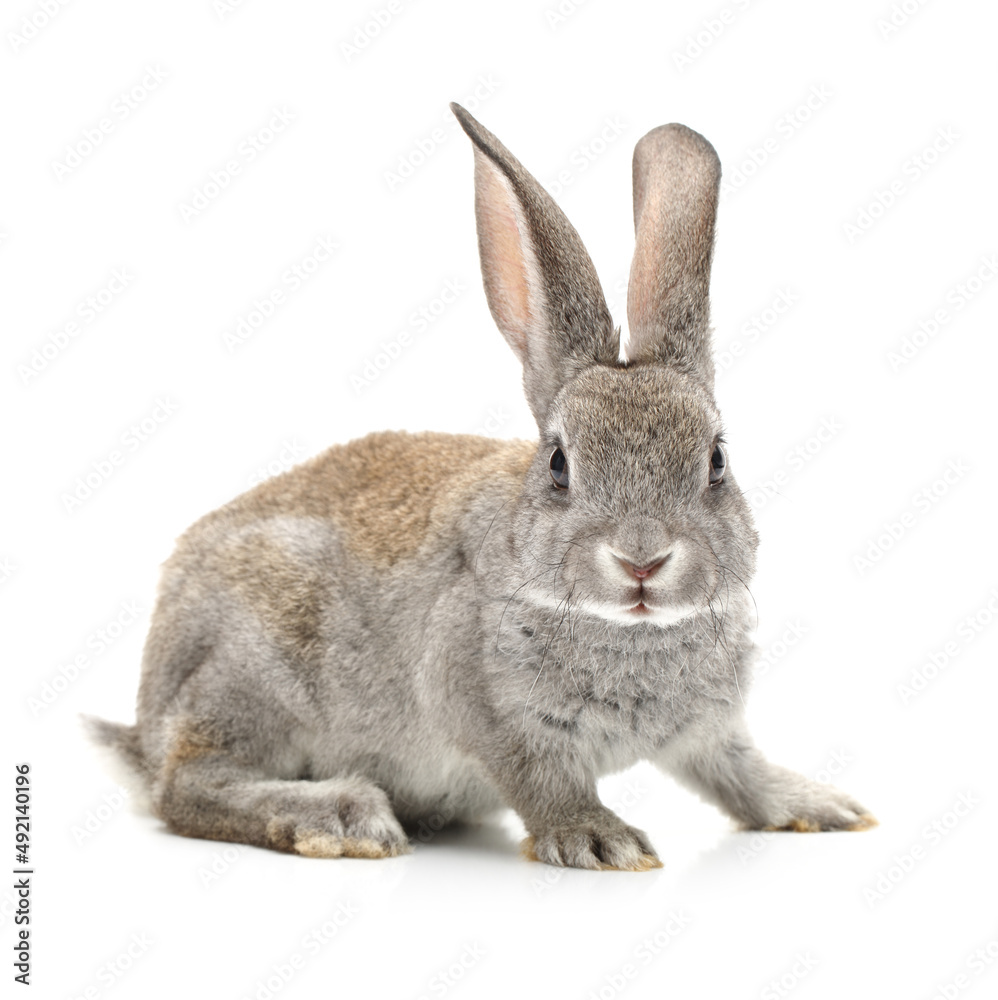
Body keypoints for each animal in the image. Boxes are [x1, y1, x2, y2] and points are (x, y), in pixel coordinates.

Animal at [85, 102, 876, 871]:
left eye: (715, 462)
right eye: (558, 465)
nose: (643, 559)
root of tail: (147, 722)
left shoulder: (708, 734)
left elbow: (738, 776)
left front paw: (824, 807)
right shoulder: (485, 707)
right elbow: (543, 779)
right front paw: (601, 841)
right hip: (251, 676)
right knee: (188, 787)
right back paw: (340, 816)